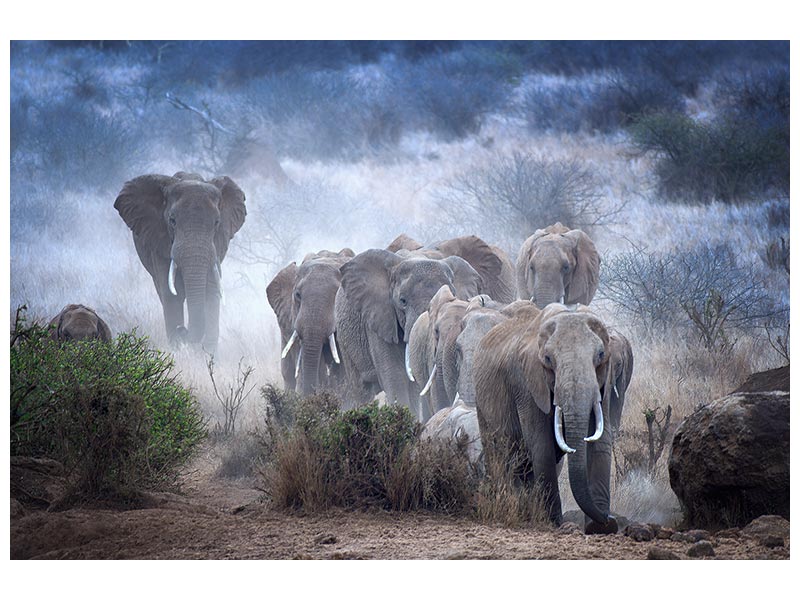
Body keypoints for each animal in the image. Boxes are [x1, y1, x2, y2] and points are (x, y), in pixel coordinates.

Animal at [111, 171, 244, 354]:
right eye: (172, 221)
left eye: (217, 223)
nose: (182, 330)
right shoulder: (159, 241)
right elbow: (171, 295)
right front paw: (178, 349)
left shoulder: (216, 247)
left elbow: (211, 290)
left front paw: (208, 355)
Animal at [332, 246, 482, 414]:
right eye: (402, 301)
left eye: (453, 296)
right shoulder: (379, 319)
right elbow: (395, 376)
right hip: (345, 340)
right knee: (361, 389)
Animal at [476, 302, 632, 532]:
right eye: (548, 360)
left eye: (601, 354)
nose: (609, 518)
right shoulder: (526, 383)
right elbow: (541, 445)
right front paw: (556, 522)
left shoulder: (607, 380)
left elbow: (601, 441)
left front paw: (600, 528)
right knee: (499, 453)